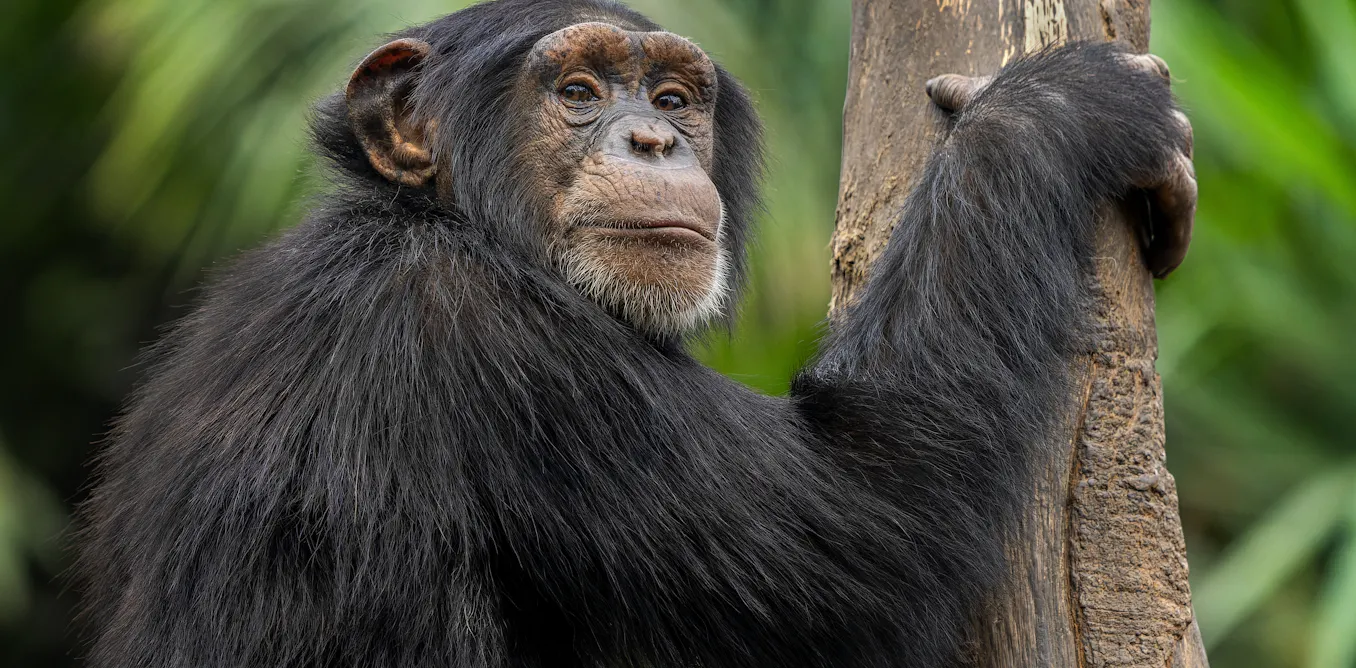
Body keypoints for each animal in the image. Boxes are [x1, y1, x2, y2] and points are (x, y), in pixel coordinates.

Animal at [75, 0, 1196, 666]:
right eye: (577, 93)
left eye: (671, 97)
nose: (653, 138)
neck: (441, 225)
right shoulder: (508, 350)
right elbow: (878, 514)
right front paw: (1058, 105)